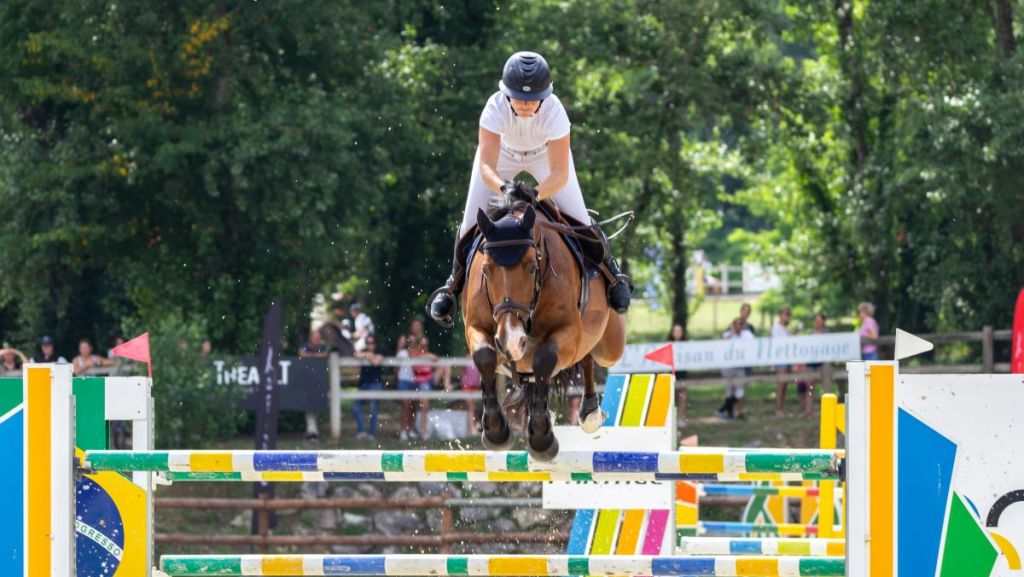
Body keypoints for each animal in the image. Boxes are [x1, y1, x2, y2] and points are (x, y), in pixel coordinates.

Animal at [461, 199, 627, 460]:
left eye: (531, 268)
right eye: (486, 270)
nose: (511, 339)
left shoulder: (568, 332)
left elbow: (544, 359)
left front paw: (541, 439)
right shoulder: (477, 329)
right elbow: (485, 357)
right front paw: (497, 433)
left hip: (610, 347)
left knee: (589, 355)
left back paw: (589, 412)